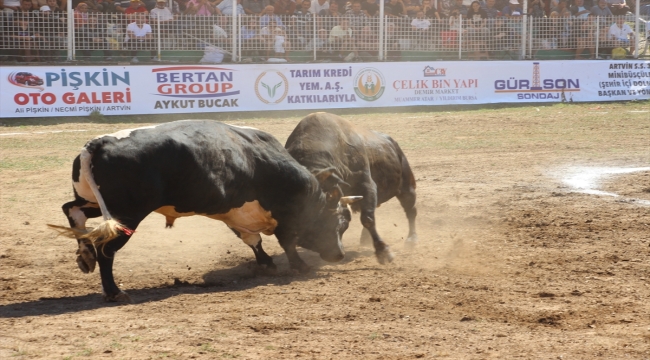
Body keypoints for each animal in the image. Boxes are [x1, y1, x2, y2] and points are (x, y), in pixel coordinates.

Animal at [52, 120, 360, 300]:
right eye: (340, 223)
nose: (339, 255)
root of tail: (97, 143)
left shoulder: (235, 214)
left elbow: (253, 241)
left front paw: (266, 263)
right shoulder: (286, 215)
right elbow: (287, 242)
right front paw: (299, 265)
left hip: (95, 203)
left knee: (72, 210)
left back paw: (85, 256)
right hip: (126, 214)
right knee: (105, 249)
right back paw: (114, 291)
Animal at [282, 112, 416, 264]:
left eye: (342, 221)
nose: (333, 255)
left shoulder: (367, 185)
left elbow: (367, 219)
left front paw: (383, 251)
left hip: (407, 187)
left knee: (410, 210)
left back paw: (411, 240)